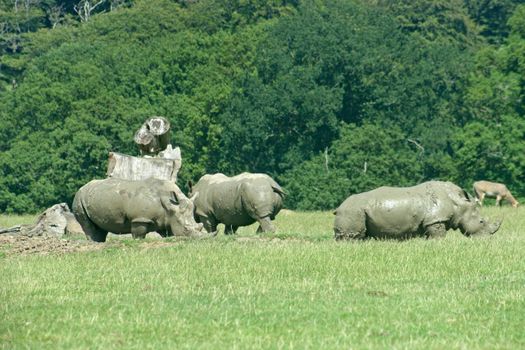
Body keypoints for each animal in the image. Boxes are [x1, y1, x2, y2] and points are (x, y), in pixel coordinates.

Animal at [71, 178, 205, 241]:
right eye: (186, 229)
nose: (200, 238)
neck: (169, 204)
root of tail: (82, 187)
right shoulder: (140, 219)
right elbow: (139, 235)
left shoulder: (166, 219)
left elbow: (168, 233)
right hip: (79, 198)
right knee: (89, 227)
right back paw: (94, 243)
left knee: (100, 228)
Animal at [334, 180, 502, 241]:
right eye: (481, 221)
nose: (487, 239)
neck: (459, 205)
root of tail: (339, 207)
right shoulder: (435, 219)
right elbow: (439, 236)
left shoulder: (429, 222)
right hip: (353, 211)